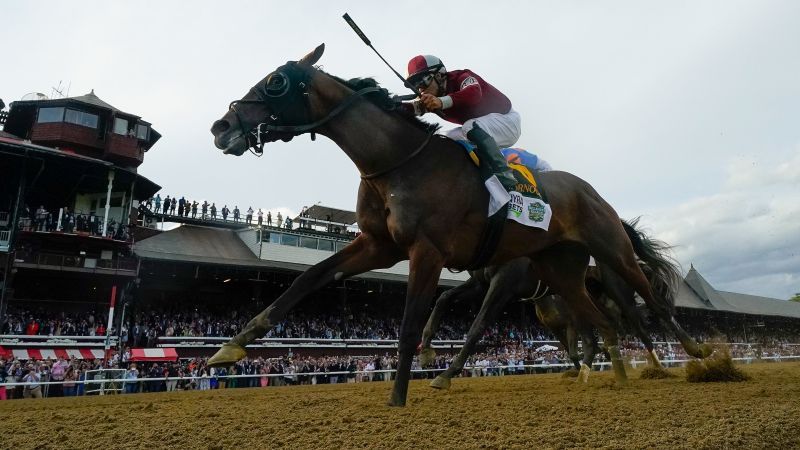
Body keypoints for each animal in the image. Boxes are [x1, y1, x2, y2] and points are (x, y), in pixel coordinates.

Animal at [208, 44, 708, 406]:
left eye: (275, 82)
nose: (221, 126)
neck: (397, 163)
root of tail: (591, 191)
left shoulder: (430, 252)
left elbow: (415, 322)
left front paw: (400, 396)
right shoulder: (378, 245)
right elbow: (308, 278)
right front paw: (231, 347)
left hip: (611, 253)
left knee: (648, 303)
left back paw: (696, 355)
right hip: (561, 271)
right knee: (600, 321)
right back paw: (615, 377)